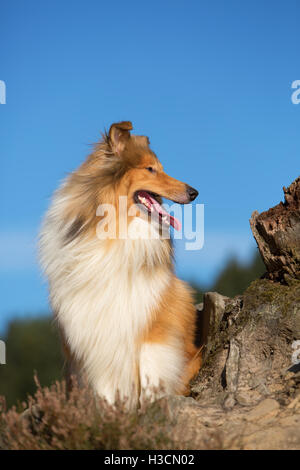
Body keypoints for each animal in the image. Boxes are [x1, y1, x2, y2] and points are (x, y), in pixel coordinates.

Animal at [39, 121, 202, 408]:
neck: (116, 228)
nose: (194, 192)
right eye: (150, 169)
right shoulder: (91, 334)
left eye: (159, 167)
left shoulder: (154, 320)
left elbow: (151, 372)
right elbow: (104, 385)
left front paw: (150, 406)